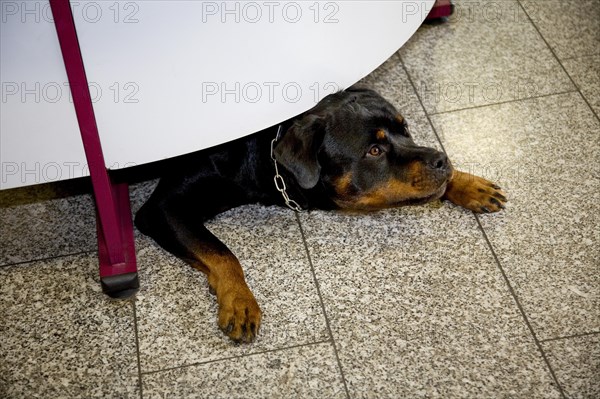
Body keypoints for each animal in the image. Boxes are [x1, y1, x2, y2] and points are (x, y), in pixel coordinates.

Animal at [136, 87, 506, 344]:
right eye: (374, 150)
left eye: (406, 130)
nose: (442, 159)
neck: (264, 151)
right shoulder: (162, 208)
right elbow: (222, 253)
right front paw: (239, 299)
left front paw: (465, 182)